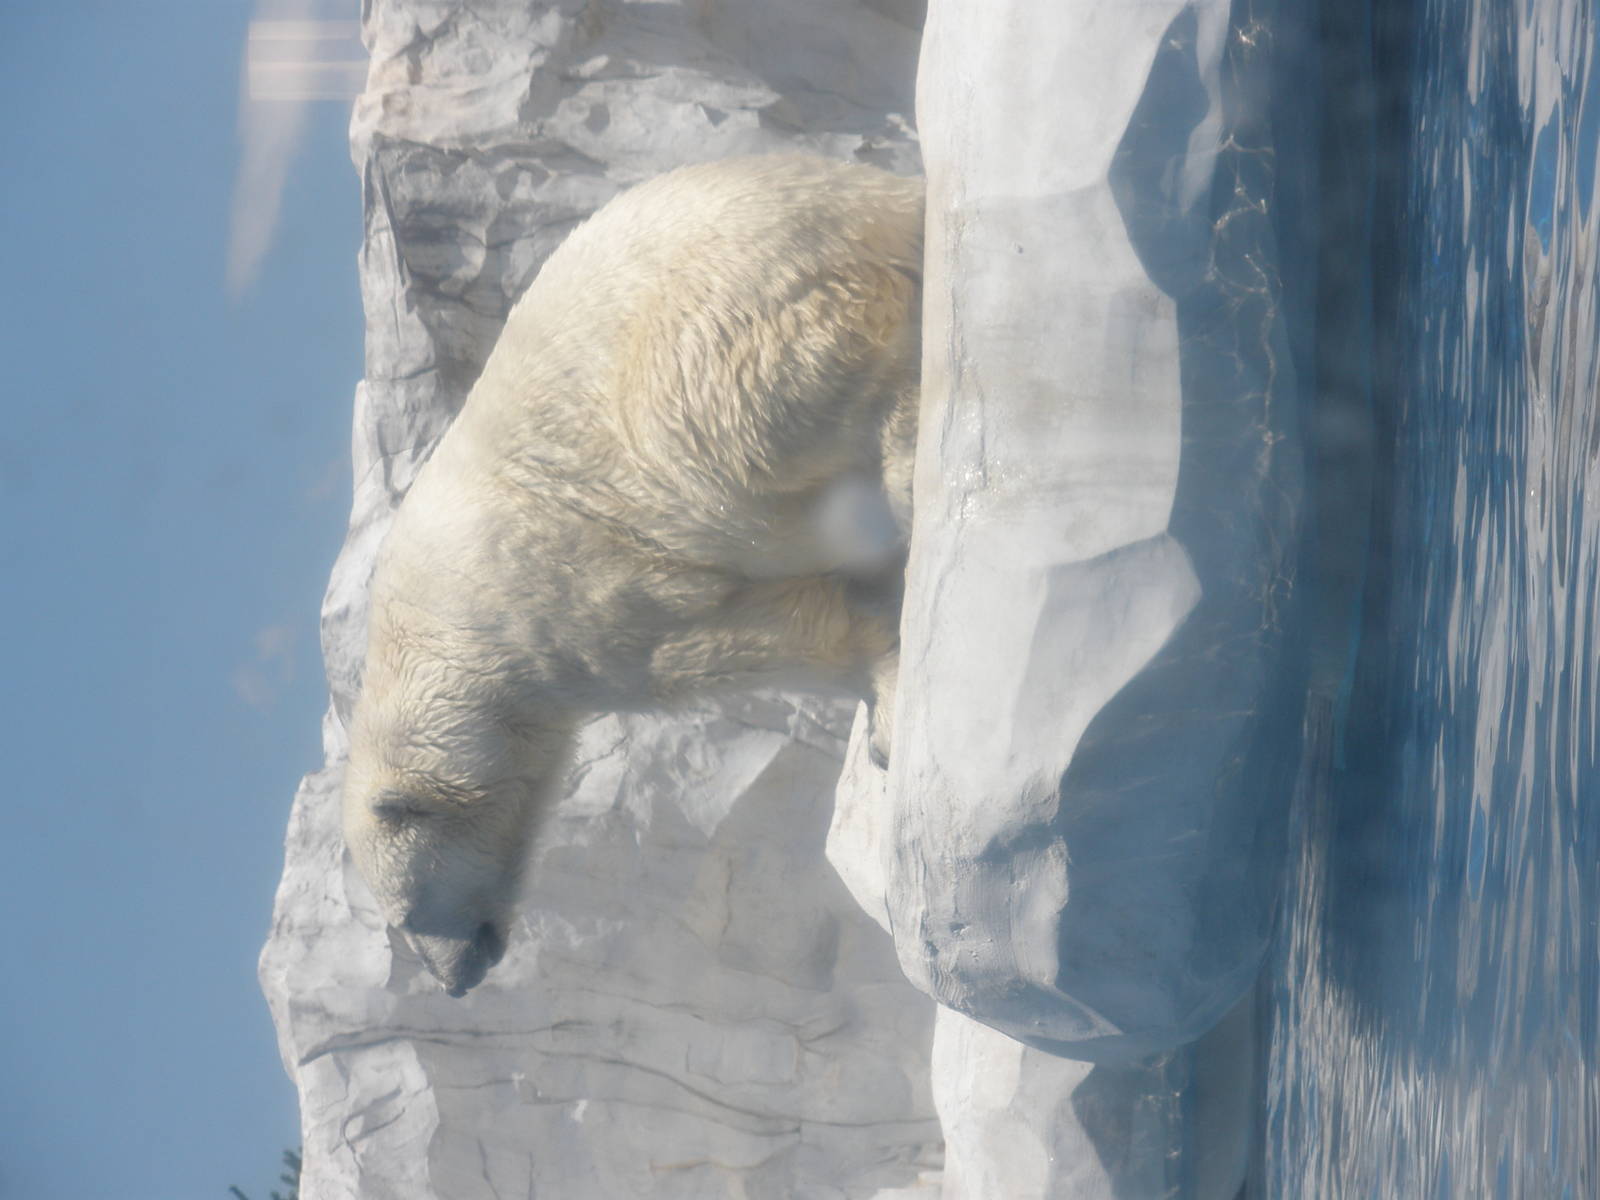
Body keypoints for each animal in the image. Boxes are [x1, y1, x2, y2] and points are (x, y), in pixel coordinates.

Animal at [341, 155, 923, 996]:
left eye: (410, 911)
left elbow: (714, 638)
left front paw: (879, 705)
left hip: (712, 341)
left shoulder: (561, 593)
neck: (434, 637)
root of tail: (879, 203)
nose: (452, 981)